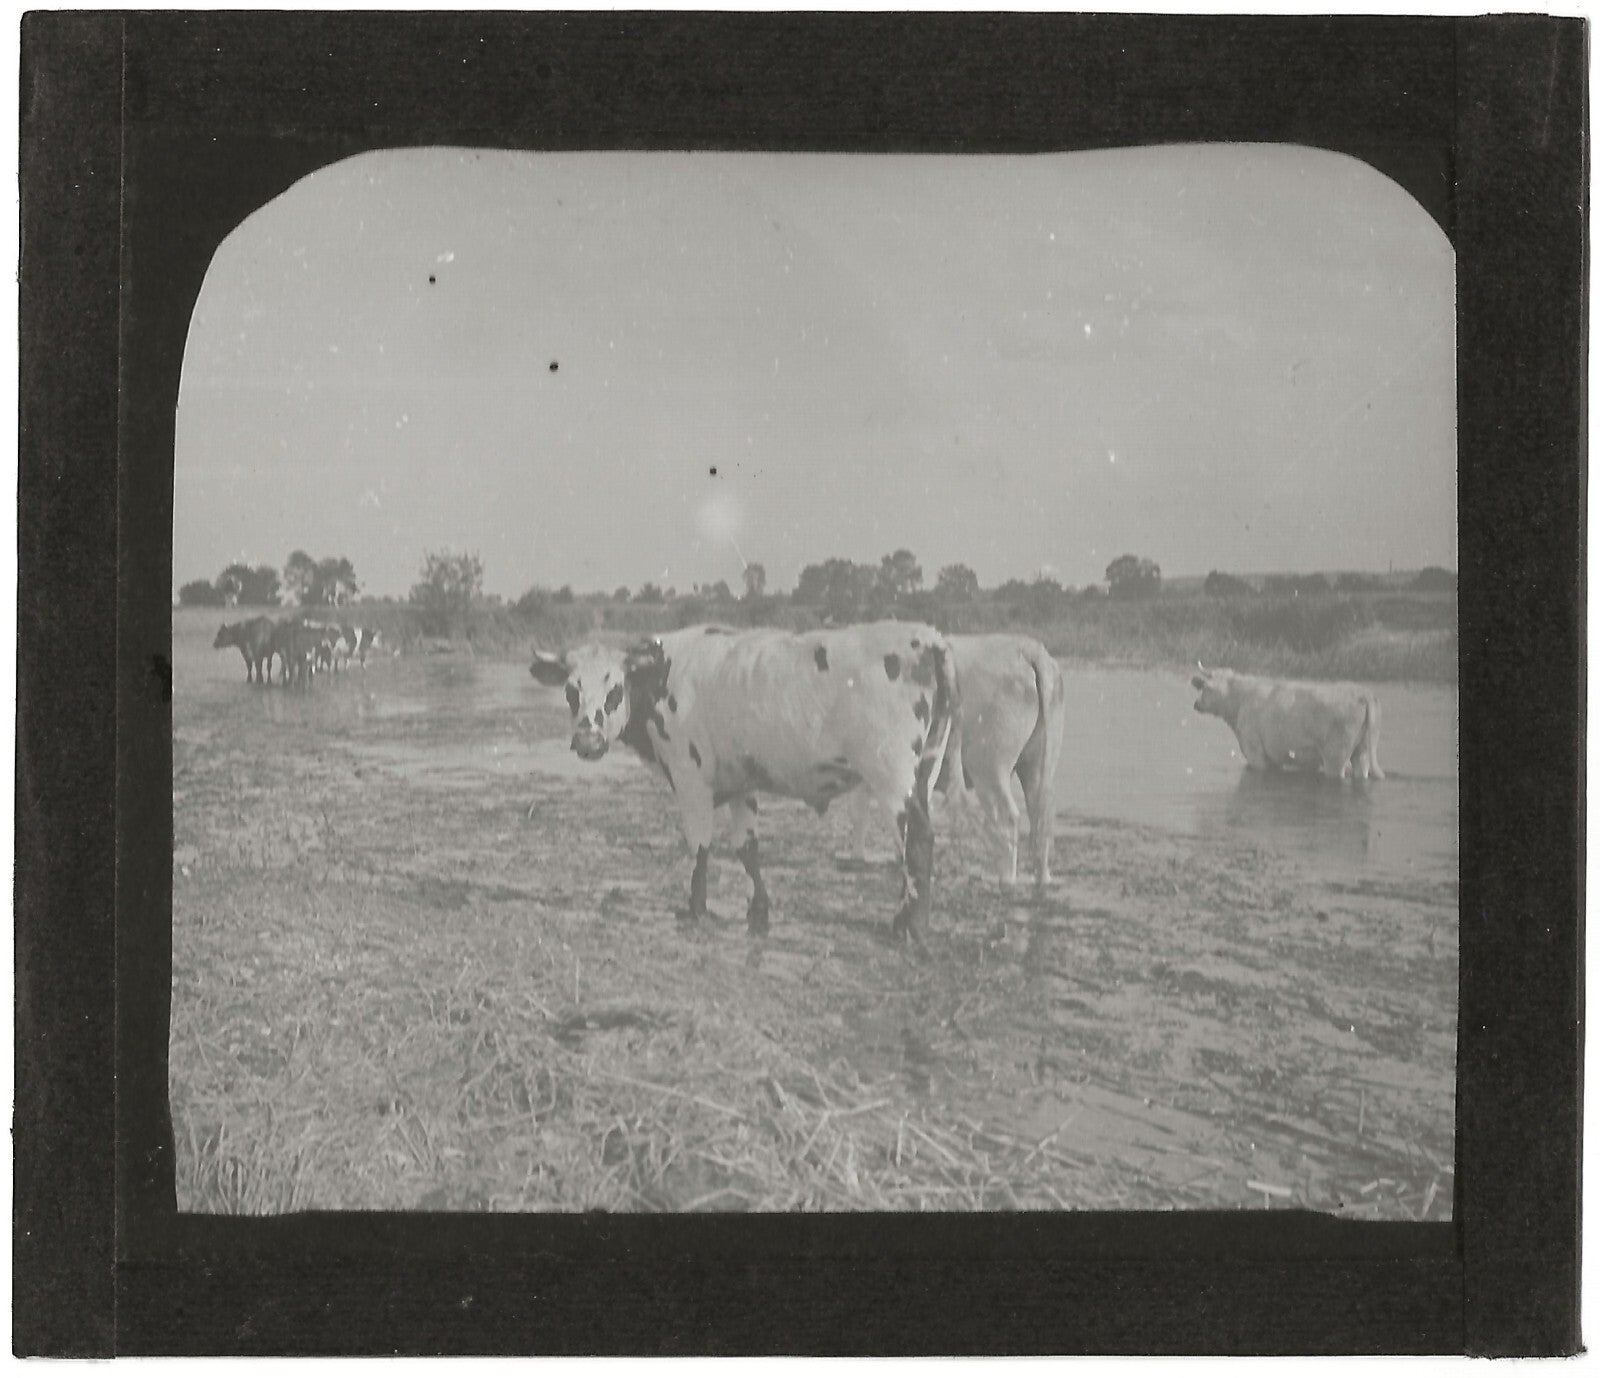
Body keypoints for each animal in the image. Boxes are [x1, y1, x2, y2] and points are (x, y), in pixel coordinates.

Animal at [529, 623, 960, 943]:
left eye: (615, 690)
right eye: (570, 692)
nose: (588, 741)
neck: (663, 675)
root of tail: (929, 638)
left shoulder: (690, 776)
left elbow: (700, 846)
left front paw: (695, 907)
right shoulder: (741, 783)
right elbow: (746, 847)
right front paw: (758, 910)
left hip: (892, 774)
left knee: (918, 839)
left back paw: (911, 930)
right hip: (924, 769)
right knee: (910, 844)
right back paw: (903, 919)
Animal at [848, 633, 1067, 889]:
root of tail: (1029, 650)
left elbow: (861, 814)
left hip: (988, 767)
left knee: (1007, 818)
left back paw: (1006, 879)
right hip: (1038, 765)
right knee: (1041, 817)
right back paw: (1042, 878)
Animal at [1190, 666, 1384, 780]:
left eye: (1207, 688)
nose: (1196, 704)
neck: (1239, 701)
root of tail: (1362, 691)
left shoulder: (1255, 751)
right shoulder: (1274, 756)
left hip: (1335, 755)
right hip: (1361, 750)